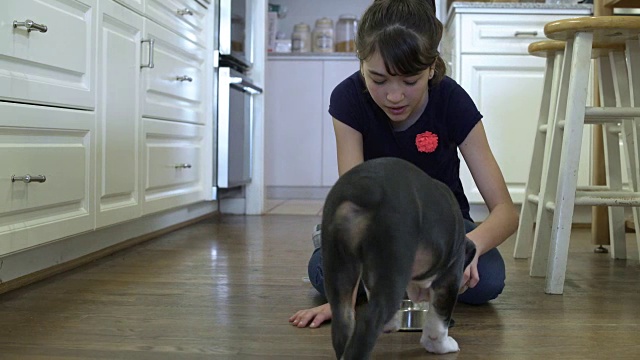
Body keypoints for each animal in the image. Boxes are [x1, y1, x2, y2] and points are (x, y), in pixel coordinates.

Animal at [320, 156, 476, 358]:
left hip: (339, 267)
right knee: (368, 325)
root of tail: (365, 187)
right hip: (392, 261)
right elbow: (438, 321)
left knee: (342, 323)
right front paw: (440, 346)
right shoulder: (450, 276)